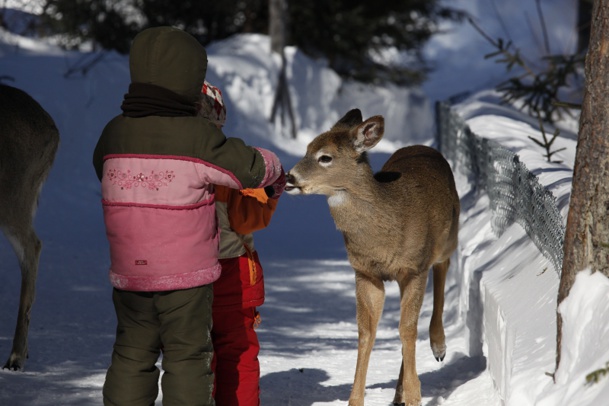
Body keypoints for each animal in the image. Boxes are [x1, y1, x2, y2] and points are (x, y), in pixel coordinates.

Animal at [284, 108, 456, 406]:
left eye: (325, 157)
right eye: (306, 149)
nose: (290, 178)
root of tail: (423, 147)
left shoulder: (413, 268)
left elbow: (407, 329)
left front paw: (414, 394)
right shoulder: (365, 272)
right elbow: (367, 333)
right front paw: (357, 400)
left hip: (448, 238)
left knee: (442, 268)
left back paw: (438, 346)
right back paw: (398, 393)